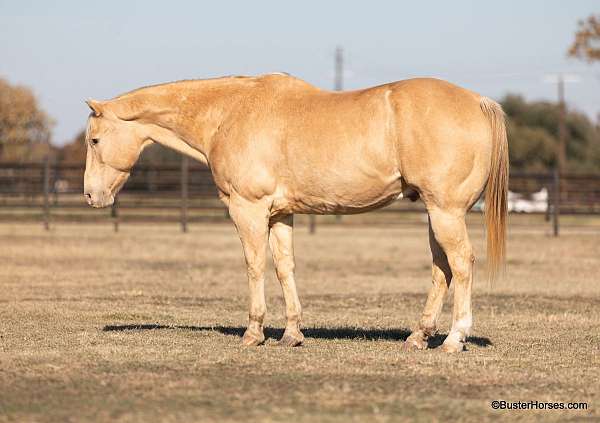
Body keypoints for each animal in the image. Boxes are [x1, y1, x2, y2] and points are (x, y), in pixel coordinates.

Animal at [83, 74, 506, 352]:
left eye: (95, 140)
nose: (91, 195)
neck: (229, 113)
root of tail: (478, 101)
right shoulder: (278, 215)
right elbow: (284, 268)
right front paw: (292, 333)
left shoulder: (248, 209)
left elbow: (255, 266)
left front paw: (254, 332)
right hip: (435, 214)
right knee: (442, 269)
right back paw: (419, 337)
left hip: (445, 212)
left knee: (461, 264)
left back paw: (454, 339)